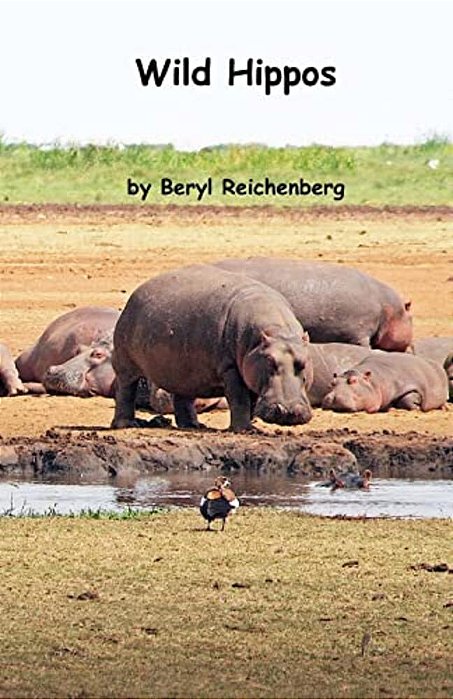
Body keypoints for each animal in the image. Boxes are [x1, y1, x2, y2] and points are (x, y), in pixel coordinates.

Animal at [111, 264, 313, 432]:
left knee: (183, 397)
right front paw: (245, 430)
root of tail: (136, 293)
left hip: (183, 371)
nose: (288, 412)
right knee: (125, 390)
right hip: (125, 363)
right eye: (270, 361)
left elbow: (251, 400)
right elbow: (240, 398)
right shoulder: (231, 368)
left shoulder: (250, 371)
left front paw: (250, 426)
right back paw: (127, 424)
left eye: (304, 363)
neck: (278, 332)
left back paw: (193, 426)